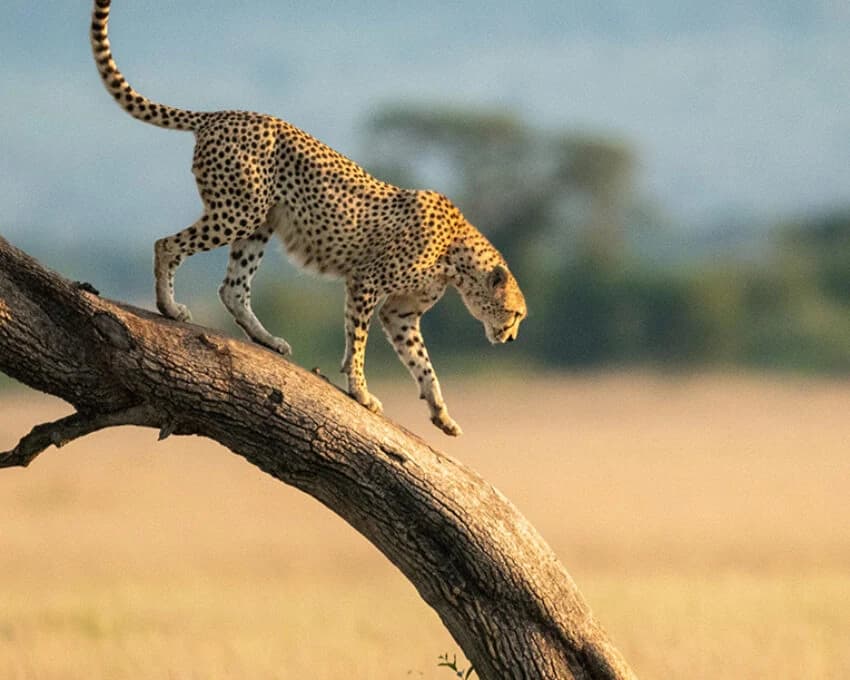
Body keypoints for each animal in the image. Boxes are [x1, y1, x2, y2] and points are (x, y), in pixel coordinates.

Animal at [90, 0, 527, 436]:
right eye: (515, 313)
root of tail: (222, 114)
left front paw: (441, 413)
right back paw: (169, 307)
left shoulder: (400, 312)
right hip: (238, 212)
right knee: (167, 244)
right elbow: (358, 342)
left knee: (233, 288)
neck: (457, 257)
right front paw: (360, 391)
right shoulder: (366, 282)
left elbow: (422, 363)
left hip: (258, 223)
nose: (511, 339)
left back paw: (267, 340)